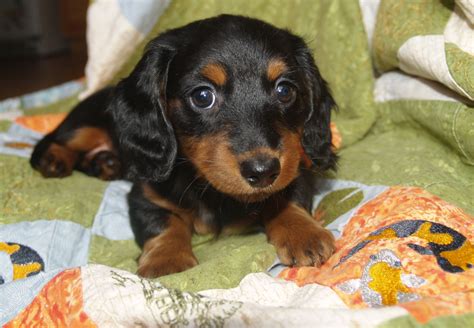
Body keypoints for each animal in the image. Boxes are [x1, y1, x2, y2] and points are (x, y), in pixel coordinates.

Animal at [30, 14, 336, 276]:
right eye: (202, 96)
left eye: (284, 90)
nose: (262, 172)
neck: (213, 191)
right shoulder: (146, 196)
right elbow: (165, 223)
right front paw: (167, 258)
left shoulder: (295, 165)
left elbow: (287, 196)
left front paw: (302, 232)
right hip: (86, 124)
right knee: (55, 141)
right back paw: (55, 159)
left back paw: (106, 163)